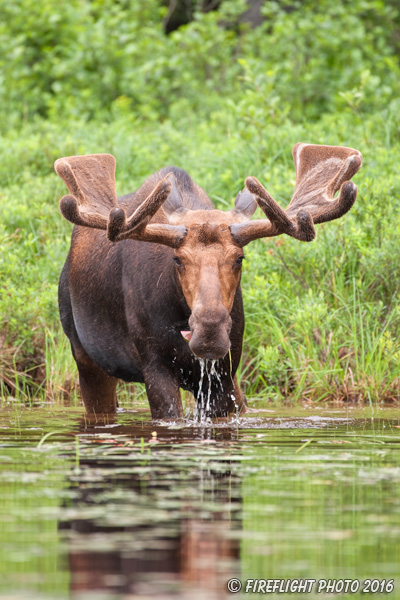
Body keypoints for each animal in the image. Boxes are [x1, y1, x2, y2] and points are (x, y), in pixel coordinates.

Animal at [54, 144, 362, 420]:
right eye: (178, 259)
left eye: (239, 258)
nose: (209, 331)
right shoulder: (155, 365)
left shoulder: (225, 371)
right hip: (84, 356)